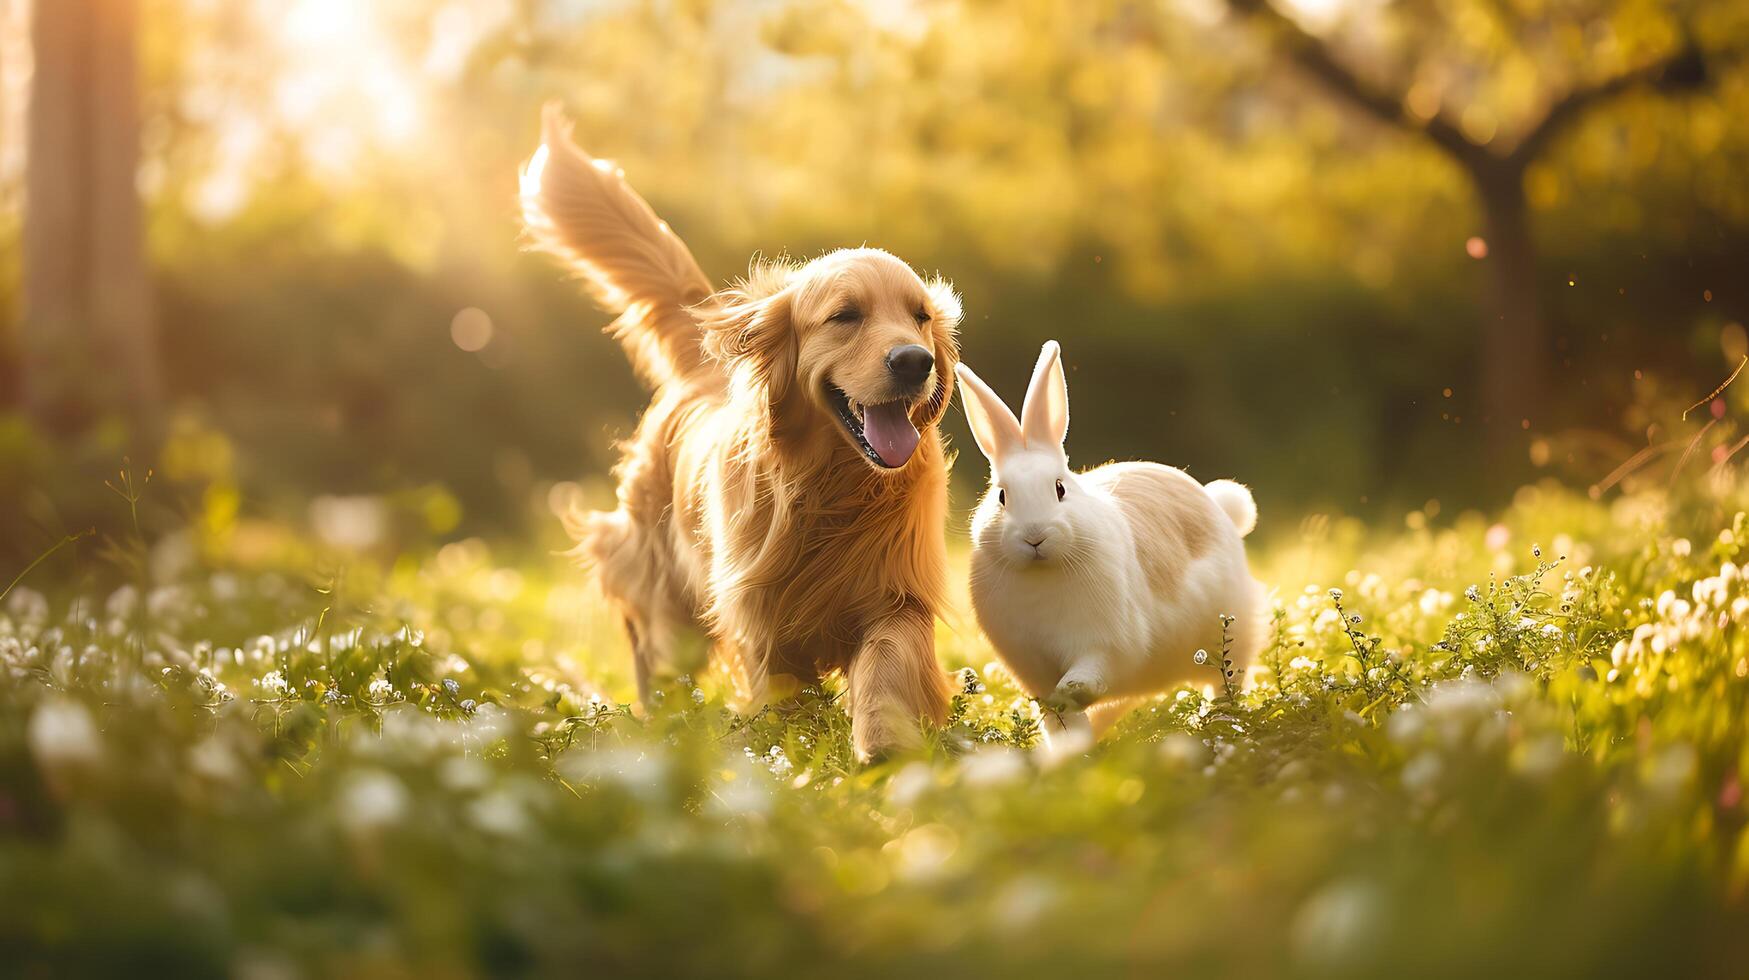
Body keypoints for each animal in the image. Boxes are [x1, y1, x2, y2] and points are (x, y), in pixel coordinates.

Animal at [517, 111, 958, 763]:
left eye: (921, 316)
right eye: (846, 315)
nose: (914, 361)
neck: (831, 486)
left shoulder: (896, 592)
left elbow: (886, 665)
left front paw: (884, 750)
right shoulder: (764, 621)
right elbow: (786, 696)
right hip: (665, 596)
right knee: (652, 649)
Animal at [958, 341, 1273, 745]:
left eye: (1060, 488)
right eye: (1001, 496)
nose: (1034, 536)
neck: (1044, 572)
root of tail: (1219, 507)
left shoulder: (1106, 645)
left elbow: (1090, 675)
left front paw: (1071, 691)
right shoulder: (1032, 667)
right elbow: (1059, 720)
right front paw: (1068, 749)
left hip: (1231, 634)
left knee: (1225, 684)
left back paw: (1222, 725)